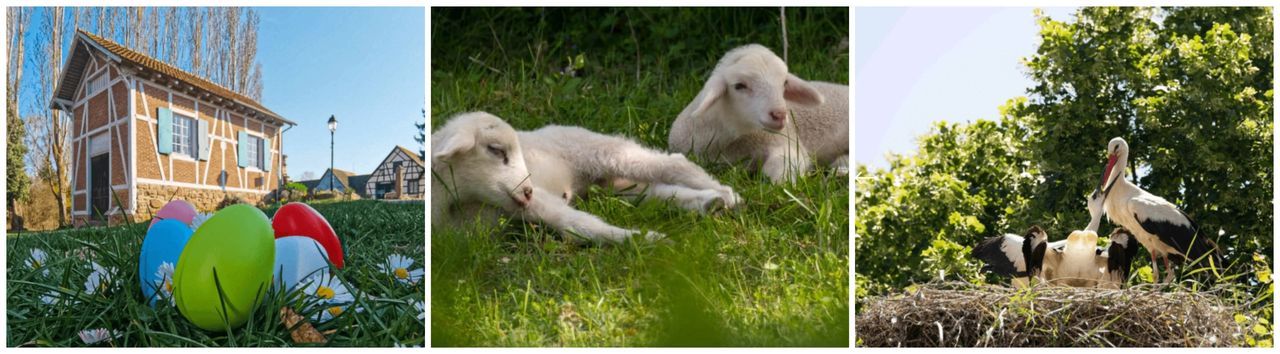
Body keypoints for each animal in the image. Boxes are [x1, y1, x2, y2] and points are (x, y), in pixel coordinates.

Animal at [430, 111, 742, 242]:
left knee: (672, 163)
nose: (528, 191)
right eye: (496, 150)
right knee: (658, 194)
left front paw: (646, 239)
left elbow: (577, 225)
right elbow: (576, 226)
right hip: (615, 187)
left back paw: (728, 194)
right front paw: (645, 238)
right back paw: (710, 202)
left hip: (602, 151)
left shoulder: (534, 203)